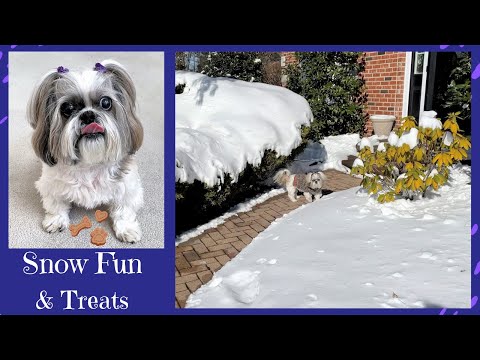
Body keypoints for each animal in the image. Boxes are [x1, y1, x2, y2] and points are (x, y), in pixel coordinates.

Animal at [27, 60, 143, 243]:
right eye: (67, 108)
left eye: (105, 102)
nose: (88, 115)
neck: (90, 164)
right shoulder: (51, 184)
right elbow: (56, 204)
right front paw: (56, 220)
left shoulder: (127, 186)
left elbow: (124, 209)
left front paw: (127, 229)